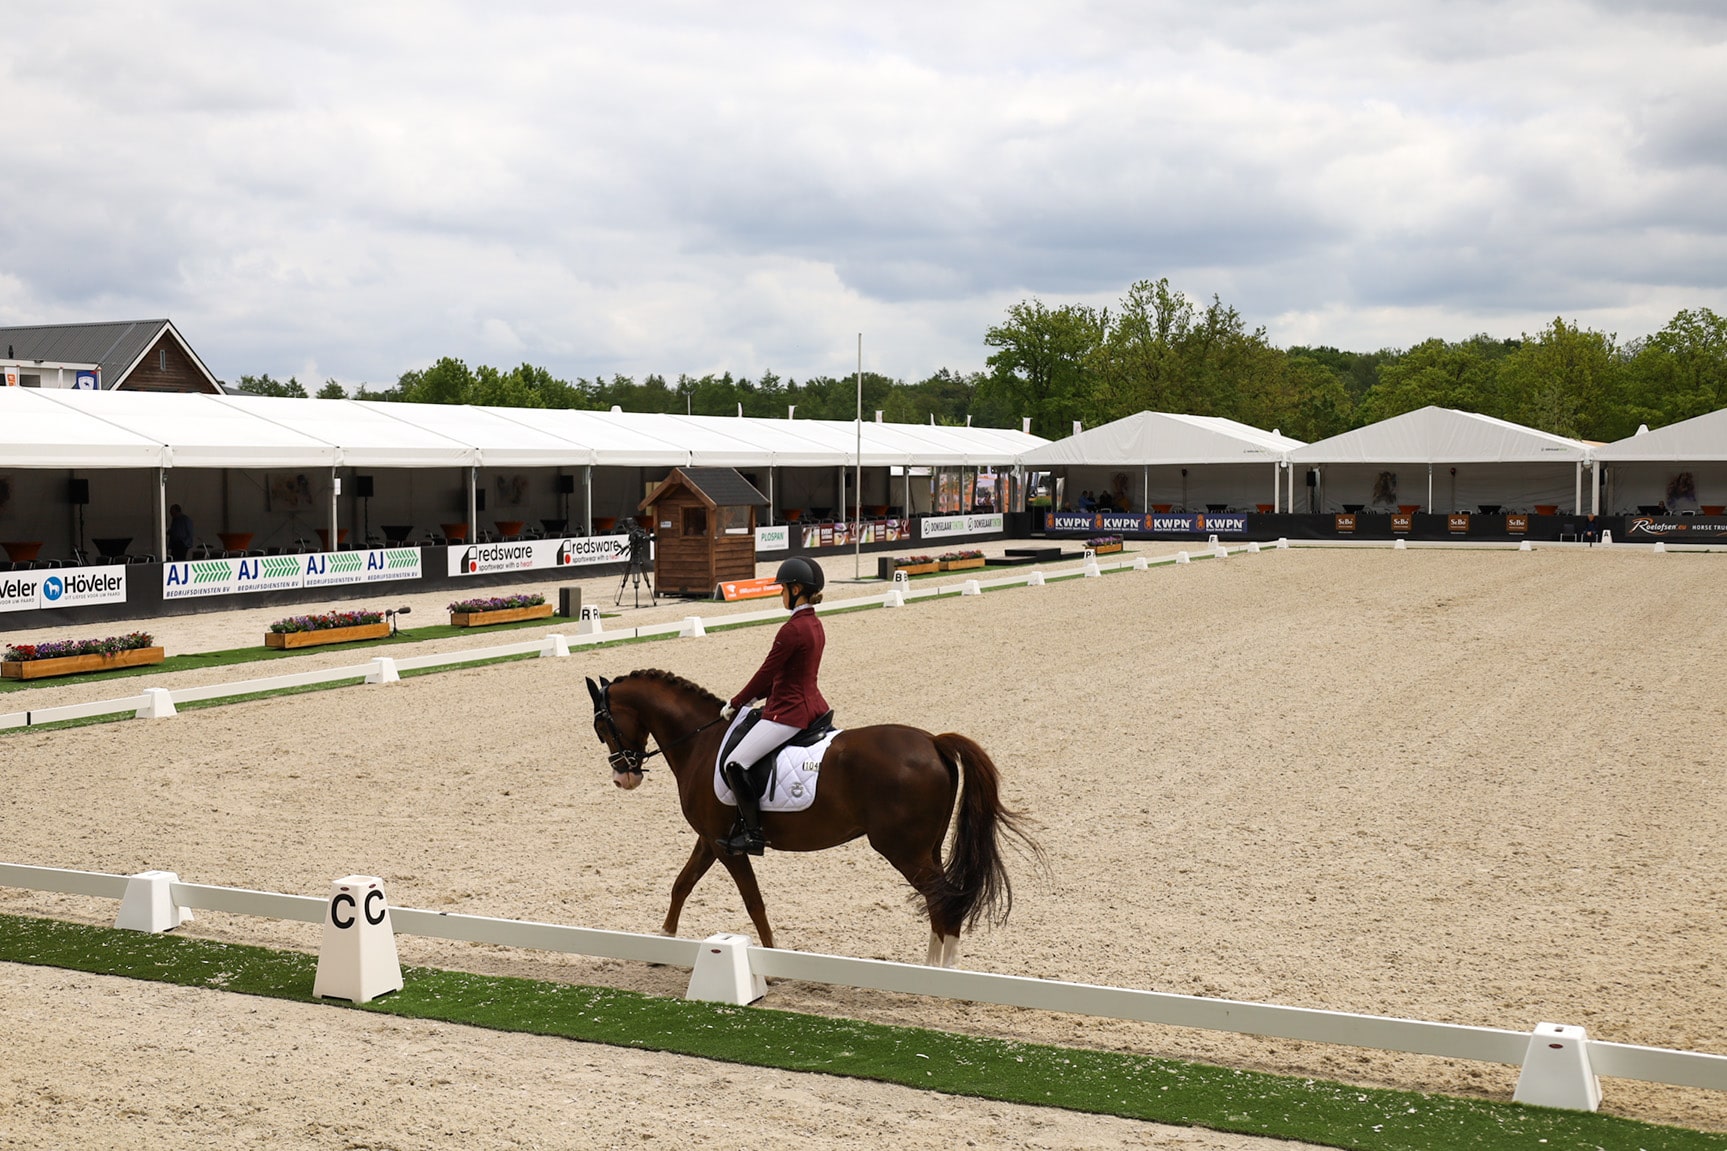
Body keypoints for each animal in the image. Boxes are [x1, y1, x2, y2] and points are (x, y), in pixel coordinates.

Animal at [590, 667, 1036, 960]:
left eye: (602, 727)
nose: (623, 776)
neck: (701, 742)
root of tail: (933, 742)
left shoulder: (728, 846)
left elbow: (753, 902)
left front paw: (772, 958)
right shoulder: (711, 839)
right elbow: (681, 885)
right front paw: (662, 943)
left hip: (903, 849)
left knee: (943, 901)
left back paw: (935, 976)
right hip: (928, 847)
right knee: (943, 902)